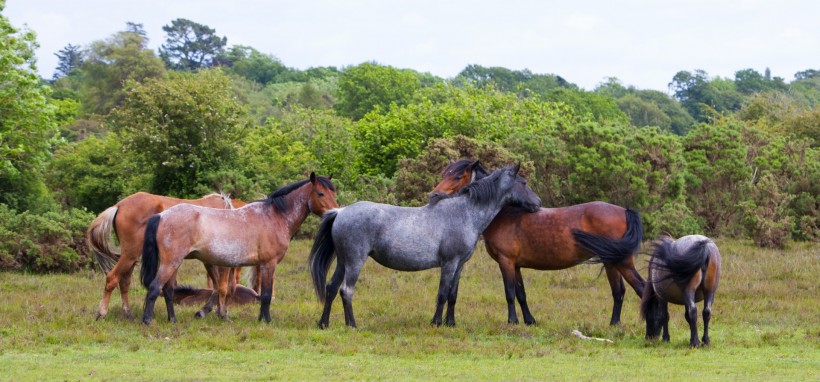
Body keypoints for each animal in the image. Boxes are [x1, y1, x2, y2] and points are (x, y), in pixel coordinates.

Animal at [141, 174, 336, 326]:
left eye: (334, 193)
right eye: (320, 193)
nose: (334, 212)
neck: (274, 217)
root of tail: (161, 215)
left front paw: (260, 318)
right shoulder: (268, 264)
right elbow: (266, 294)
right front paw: (266, 321)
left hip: (174, 263)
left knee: (168, 291)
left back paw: (172, 320)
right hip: (170, 263)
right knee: (154, 288)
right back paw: (147, 320)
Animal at [308, 164, 544, 328]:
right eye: (523, 182)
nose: (538, 203)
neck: (464, 212)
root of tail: (340, 212)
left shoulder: (459, 265)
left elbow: (452, 294)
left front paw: (451, 323)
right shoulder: (449, 263)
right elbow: (442, 293)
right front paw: (436, 322)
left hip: (342, 262)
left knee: (331, 288)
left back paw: (323, 323)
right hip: (354, 261)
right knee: (346, 290)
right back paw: (352, 324)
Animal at [430, 159, 648, 326]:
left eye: (457, 176)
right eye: (444, 173)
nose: (433, 195)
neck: (505, 214)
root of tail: (624, 211)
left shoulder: (506, 261)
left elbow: (509, 292)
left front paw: (512, 321)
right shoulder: (516, 265)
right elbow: (521, 293)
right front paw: (529, 320)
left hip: (622, 262)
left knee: (641, 288)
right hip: (611, 263)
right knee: (619, 292)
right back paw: (614, 325)